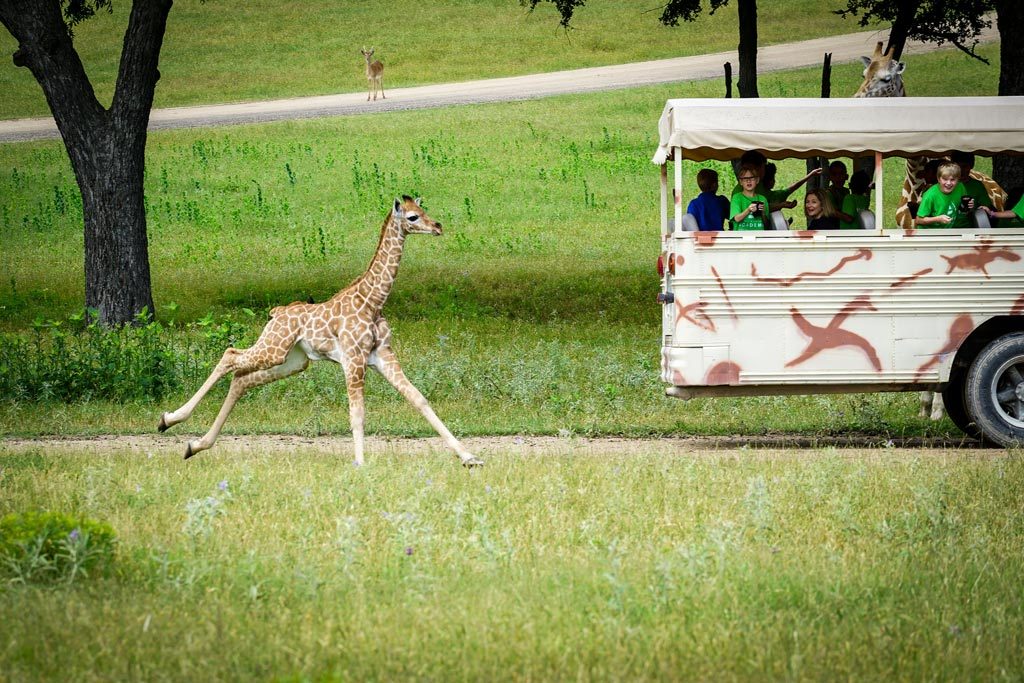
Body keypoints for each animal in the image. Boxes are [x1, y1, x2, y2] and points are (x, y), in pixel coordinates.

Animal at [156, 194, 483, 466]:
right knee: (230, 355)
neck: (372, 301)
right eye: (413, 217)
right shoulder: (353, 360)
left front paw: (469, 457)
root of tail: (277, 313)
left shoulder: (383, 355)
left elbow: (419, 399)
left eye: (424, 210)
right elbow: (357, 413)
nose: (438, 226)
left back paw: (194, 445)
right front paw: (360, 463)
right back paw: (169, 419)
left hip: (293, 360)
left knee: (242, 379)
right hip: (274, 348)